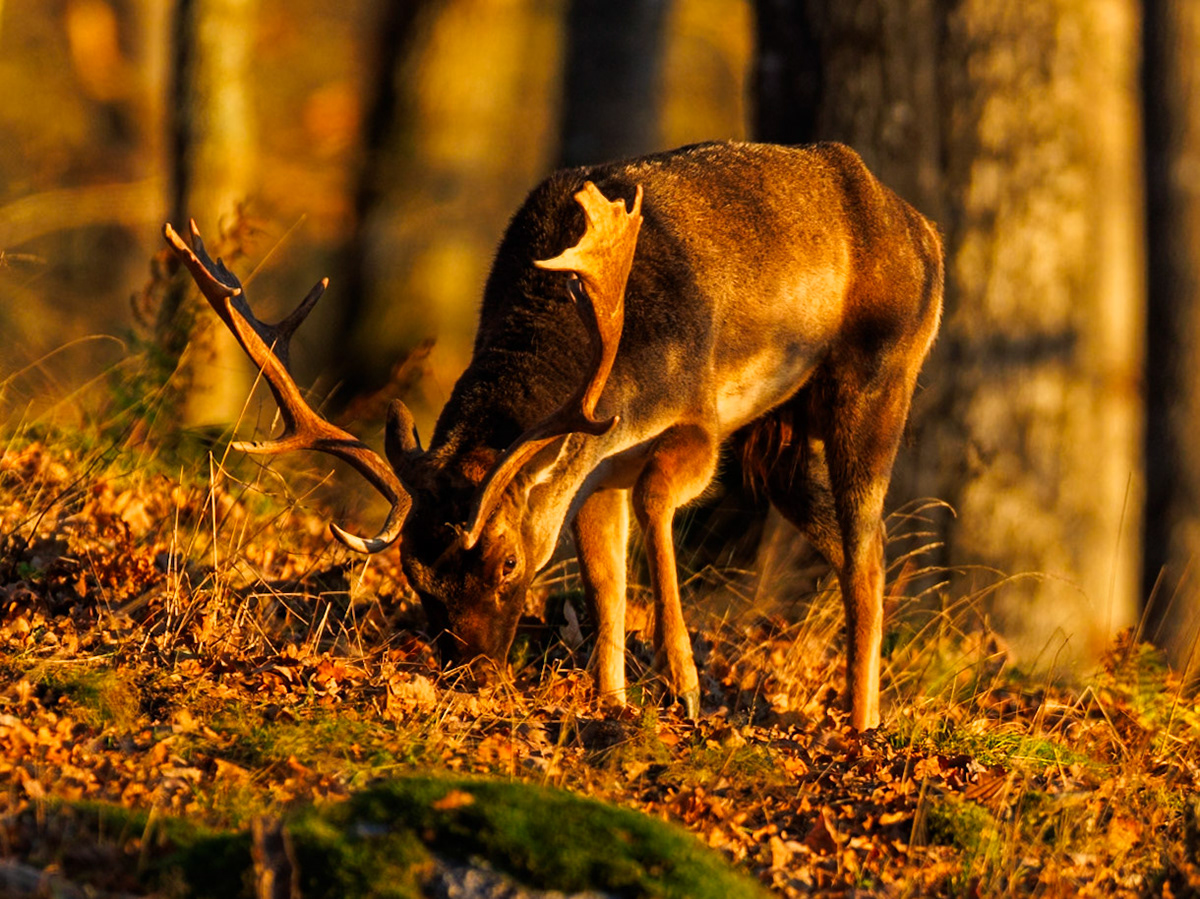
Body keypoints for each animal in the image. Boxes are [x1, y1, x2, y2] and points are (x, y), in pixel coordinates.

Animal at [164, 141, 943, 731]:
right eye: (413, 574)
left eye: (508, 562)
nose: (474, 673)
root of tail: (924, 230)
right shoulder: (596, 465)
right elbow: (603, 577)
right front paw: (612, 700)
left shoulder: (696, 418)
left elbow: (655, 505)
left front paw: (685, 686)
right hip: (777, 439)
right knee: (860, 547)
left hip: (879, 378)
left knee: (867, 545)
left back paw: (862, 723)